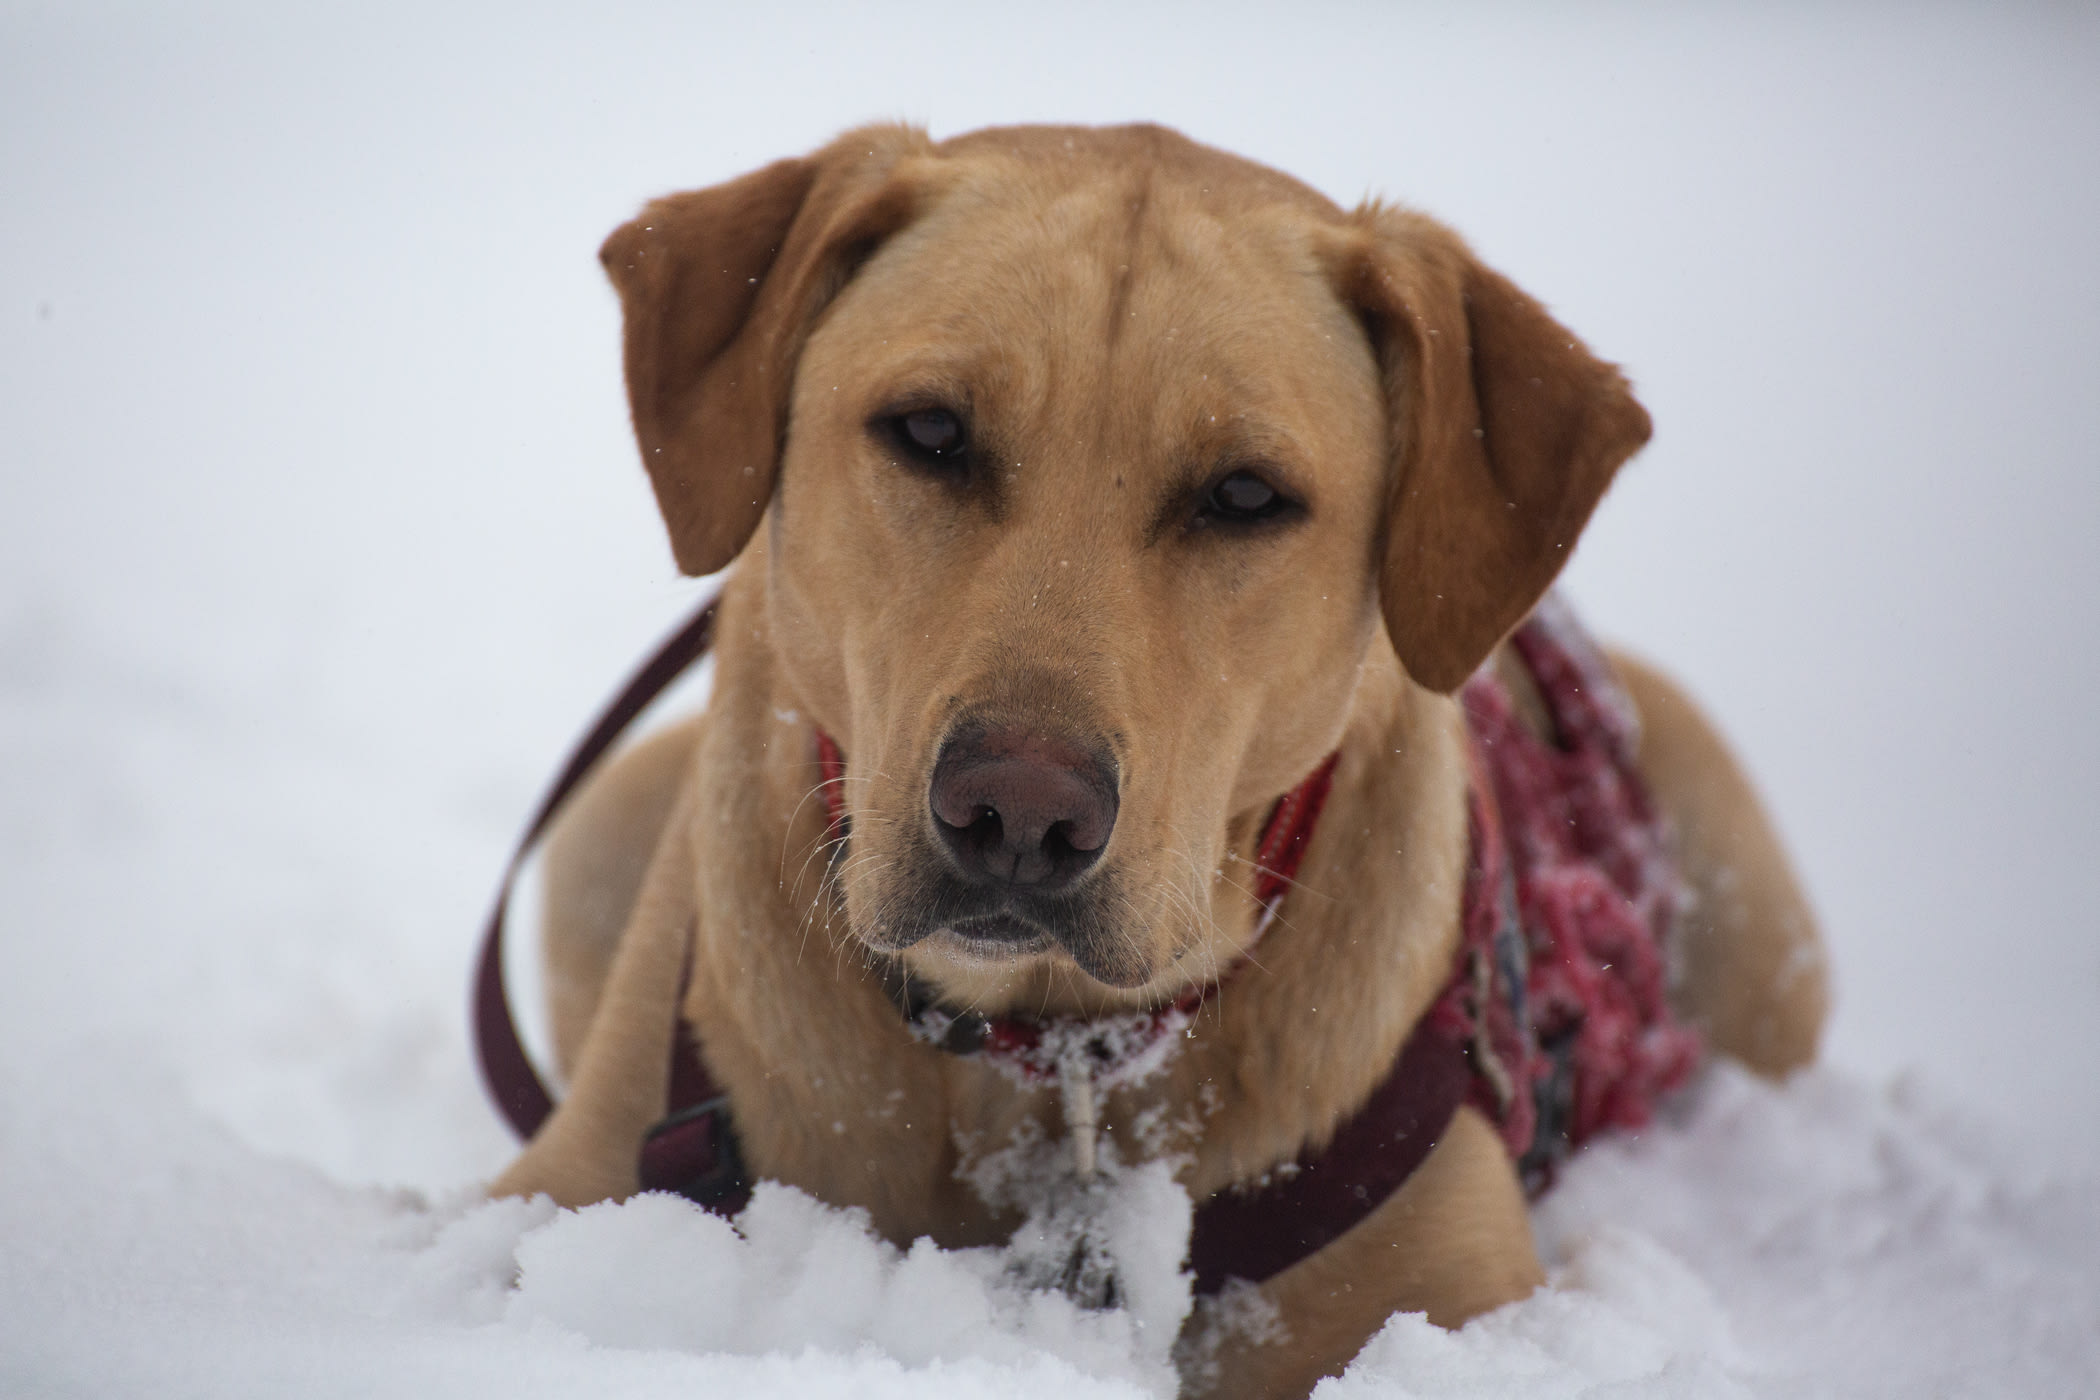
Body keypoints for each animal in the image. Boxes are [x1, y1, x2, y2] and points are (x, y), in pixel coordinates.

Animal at [487, 125, 1822, 1393]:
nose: (1018, 814)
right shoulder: (560, 1188)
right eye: (929, 430)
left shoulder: (1457, 1296)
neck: (1046, 1052)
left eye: (1245, 493)